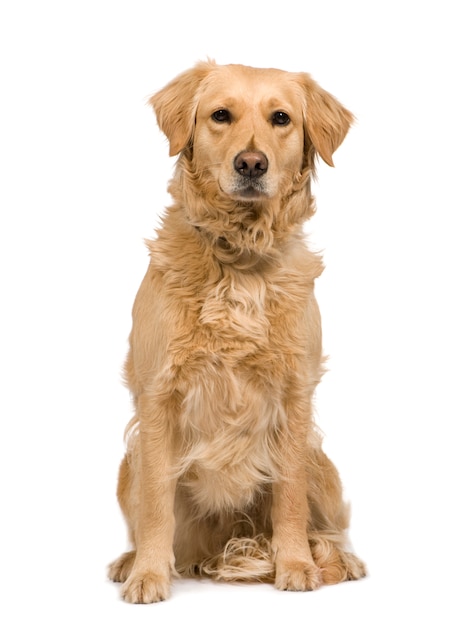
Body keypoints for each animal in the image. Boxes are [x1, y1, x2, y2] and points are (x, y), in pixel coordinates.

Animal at [108, 61, 366, 604]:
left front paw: (295, 564)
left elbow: (289, 497)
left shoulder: (294, 395)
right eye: (220, 115)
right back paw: (131, 560)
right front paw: (148, 574)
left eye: (281, 118)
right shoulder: (158, 395)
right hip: (129, 463)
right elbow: (156, 505)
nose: (251, 163)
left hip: (321, 461)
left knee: (329, 525)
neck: (239, 258)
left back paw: (339, 559)